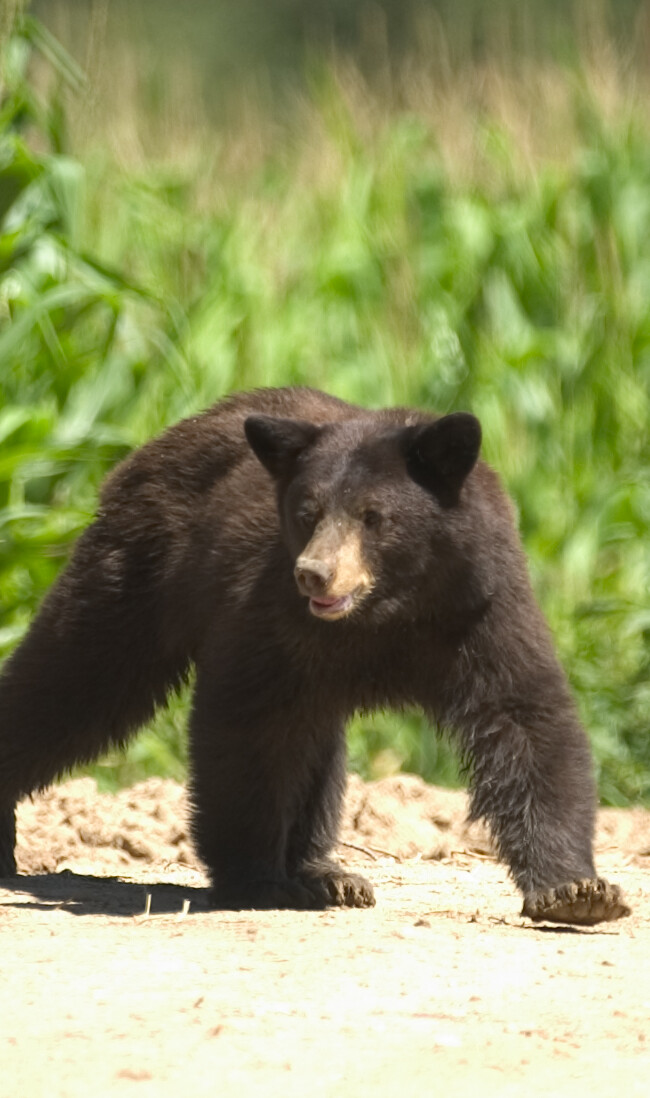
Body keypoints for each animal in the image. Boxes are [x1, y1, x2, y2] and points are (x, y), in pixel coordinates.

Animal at [0, 386, 630, 924]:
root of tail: (152, 445)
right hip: (137, 570)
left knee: (318, 753)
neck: (388, 613)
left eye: (374, 516)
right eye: (307, 511)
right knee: (76, 680)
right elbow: (250, 728)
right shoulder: (272, 616)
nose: (314, 573)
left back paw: (327, 874)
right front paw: (256, 879)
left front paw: (577, 890)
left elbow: (526, 718)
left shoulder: (481, 610)